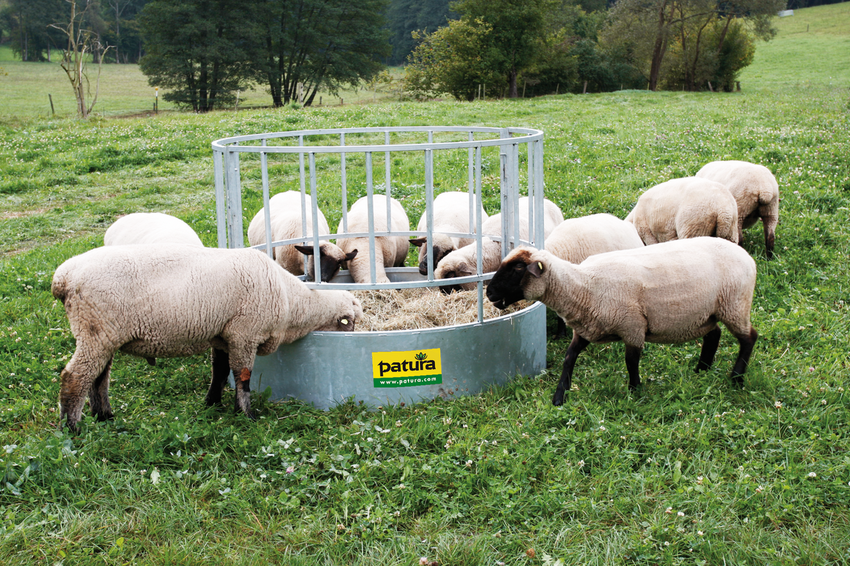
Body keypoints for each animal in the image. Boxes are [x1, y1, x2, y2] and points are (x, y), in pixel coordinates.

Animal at [49, 245, 362, 434]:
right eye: (351, 320)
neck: (292, 301)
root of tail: (62, 278)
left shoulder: (222, 336)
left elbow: (220, 372)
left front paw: (212, 404)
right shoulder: (244, 334)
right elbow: (243, 376)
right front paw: (246, 415)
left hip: (103, 335)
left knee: (98, 378)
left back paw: (105, 417)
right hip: (95, 330)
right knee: (75, 377)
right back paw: (72, 429)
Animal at [486, 237, 760, 406]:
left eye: (518, 268)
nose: (489, 293)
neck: (584, 286)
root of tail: (746, 255)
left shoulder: (632, 327)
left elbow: (631, 361)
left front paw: (635, 391)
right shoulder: (587, 329)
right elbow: (568, 358)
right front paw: (559, 396)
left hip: (735, 305)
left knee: (749, 338)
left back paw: (736, 378)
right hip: (707, 313)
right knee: (714, 334)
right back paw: (701, 369)